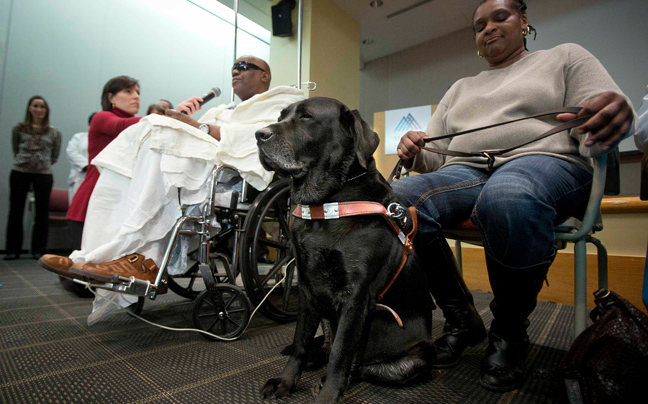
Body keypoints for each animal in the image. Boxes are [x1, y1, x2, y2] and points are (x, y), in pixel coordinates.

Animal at [256, 96, 432, 402]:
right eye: (280, 116)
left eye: (306, 117)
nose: (258, 134)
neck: (327, 204)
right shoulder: (307, 289)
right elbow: (300, 340)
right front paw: (286, 381)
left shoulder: (356, 297)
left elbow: (341, 353)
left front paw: (328, 394)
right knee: (324, 346)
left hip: (416, 359)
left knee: (357, 364)